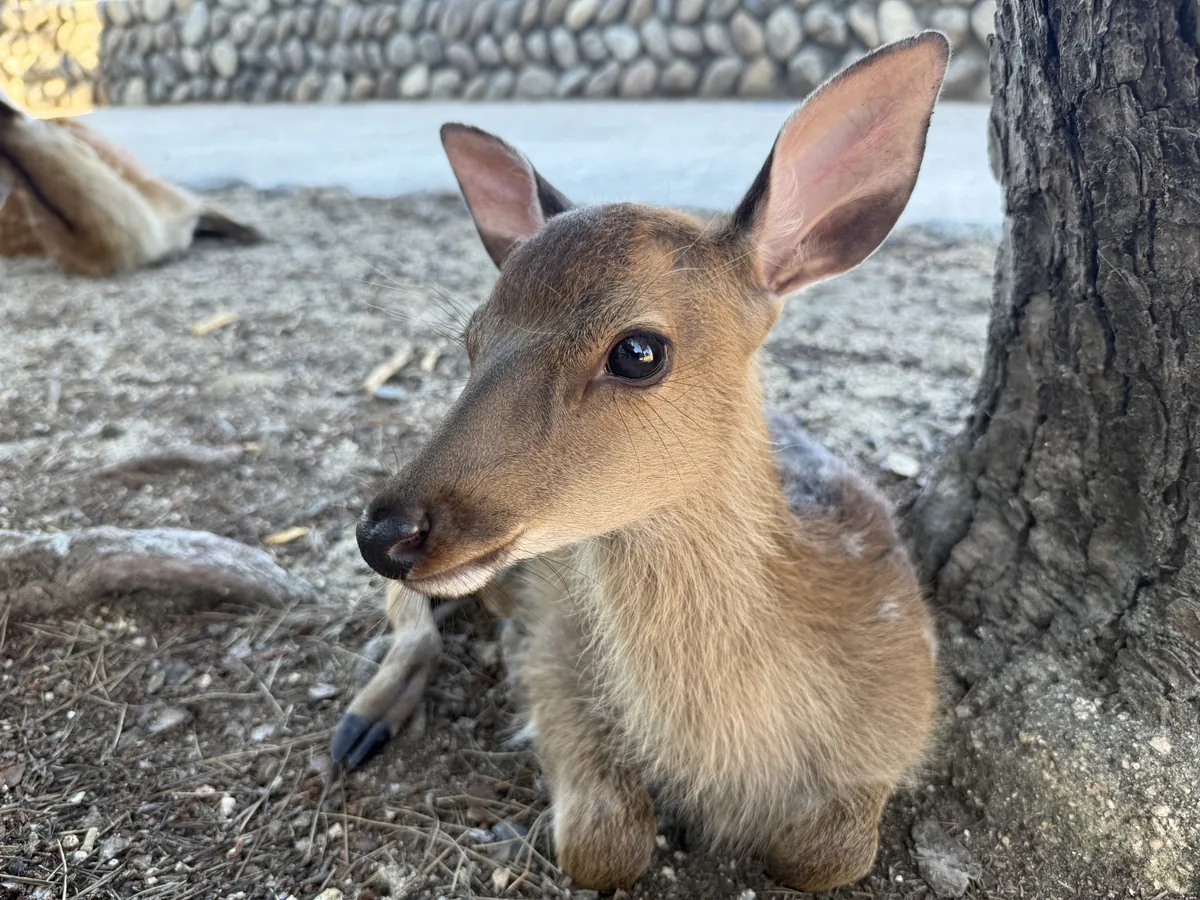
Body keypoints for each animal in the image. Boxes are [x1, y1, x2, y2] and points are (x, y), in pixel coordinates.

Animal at [334, 33, 949, 893]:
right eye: (472, 340)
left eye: (638, 351)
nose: (385, 532)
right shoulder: (559, 653)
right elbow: (604, 844)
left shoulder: (907, 702)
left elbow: (825, 854)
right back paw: (361, 724)